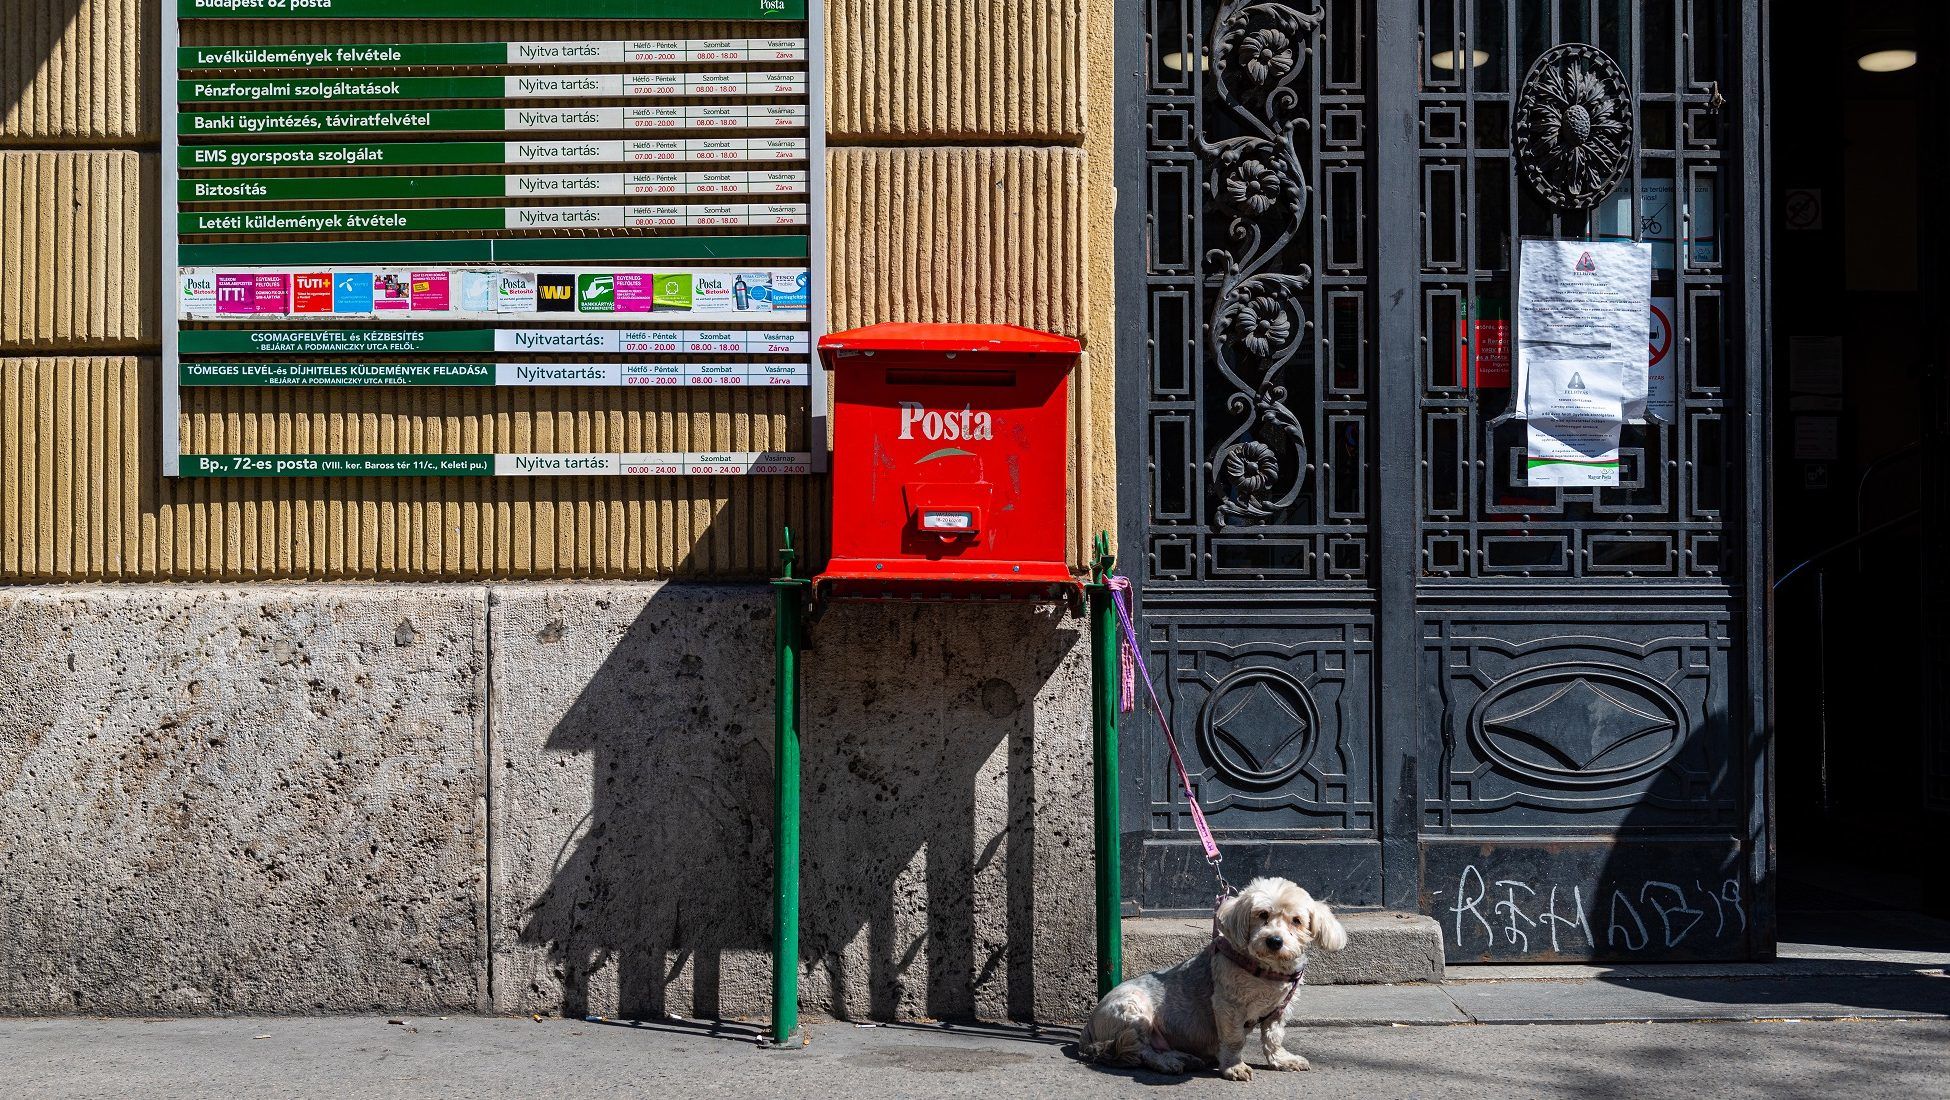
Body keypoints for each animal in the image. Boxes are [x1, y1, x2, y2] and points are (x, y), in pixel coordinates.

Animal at [1084, 877, 1341, 1084]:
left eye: (1296, 920)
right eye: (1262, 914)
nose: (1274, 941)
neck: (1266, 971)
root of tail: (1089, 1026)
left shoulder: (1279, 1010)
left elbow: (1274, 1037)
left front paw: (1282, 1060)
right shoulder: (1228, 1006)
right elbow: (1234, 1039)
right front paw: (1233, 1067)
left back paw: (1183, 1056)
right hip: (1133, 1010)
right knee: (1141, 1051)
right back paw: (1168, 1062)